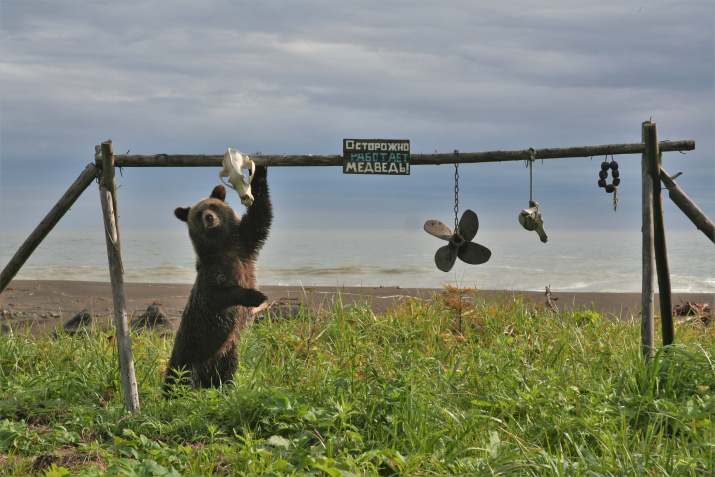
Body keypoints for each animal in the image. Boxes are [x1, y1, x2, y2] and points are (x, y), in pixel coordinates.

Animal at [164, 165, 272, 396]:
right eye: (198, 213)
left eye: (213, 206)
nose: (209, 217)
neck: (223, 247)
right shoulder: (212, 272)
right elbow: (219, 294)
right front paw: (255, 295)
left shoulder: (245, 245)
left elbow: (260, 216)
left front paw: (259, 172)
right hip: (188, 352)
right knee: (179, 378)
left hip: (227, 352)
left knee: (227, 372)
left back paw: (226, 390)